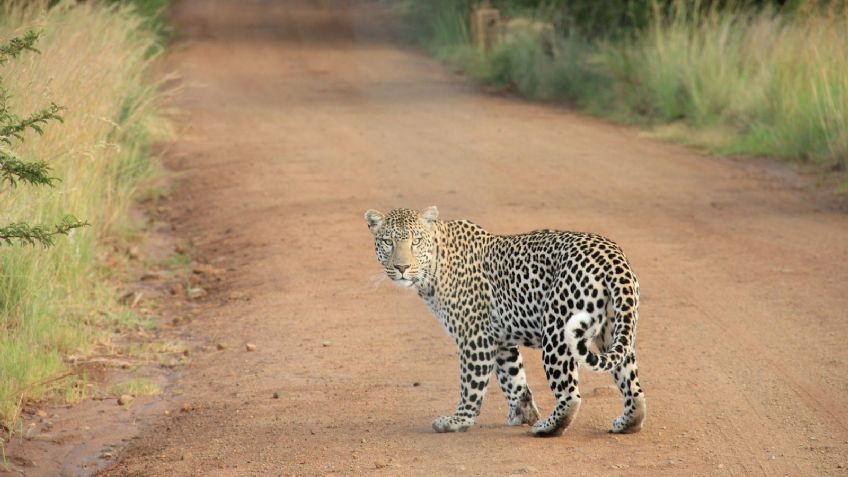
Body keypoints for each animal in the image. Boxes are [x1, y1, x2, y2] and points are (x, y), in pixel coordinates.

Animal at [362, 205, 644, 436]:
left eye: (416, 241)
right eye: (387, 242)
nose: (401, 268)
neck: (434, 267)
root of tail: (613, 257)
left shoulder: (474, 337)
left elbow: (471, 384)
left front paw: (458, 421)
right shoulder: (500, 340)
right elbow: (514, 379)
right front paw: (523, 414)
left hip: (557, 332)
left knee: (570, 395)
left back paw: (547, 427)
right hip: (614, 330)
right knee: (633, 385)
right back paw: (628, 422)